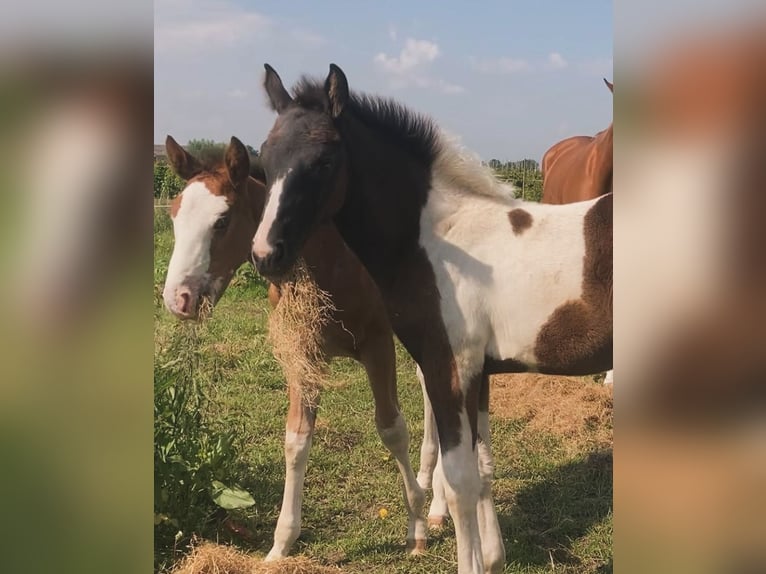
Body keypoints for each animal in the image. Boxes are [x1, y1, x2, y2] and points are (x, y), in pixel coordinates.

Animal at [160, 136, 440, 564]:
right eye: (174, 217)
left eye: (222, 221)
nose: (178, 299)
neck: (336, 262)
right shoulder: (302, 353)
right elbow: (296, 439)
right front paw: (280, 545)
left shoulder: (378, 343)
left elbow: (392, 429)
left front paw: (417, 530)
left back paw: (439, 505)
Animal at [255, 64, 616, 574]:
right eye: (265, 159)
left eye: (324, 160)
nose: (266, 254)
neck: (438, 241)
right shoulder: (479, 373)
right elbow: (482, 468)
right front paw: (493, 558)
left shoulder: (449, 367)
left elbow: (460, 479)